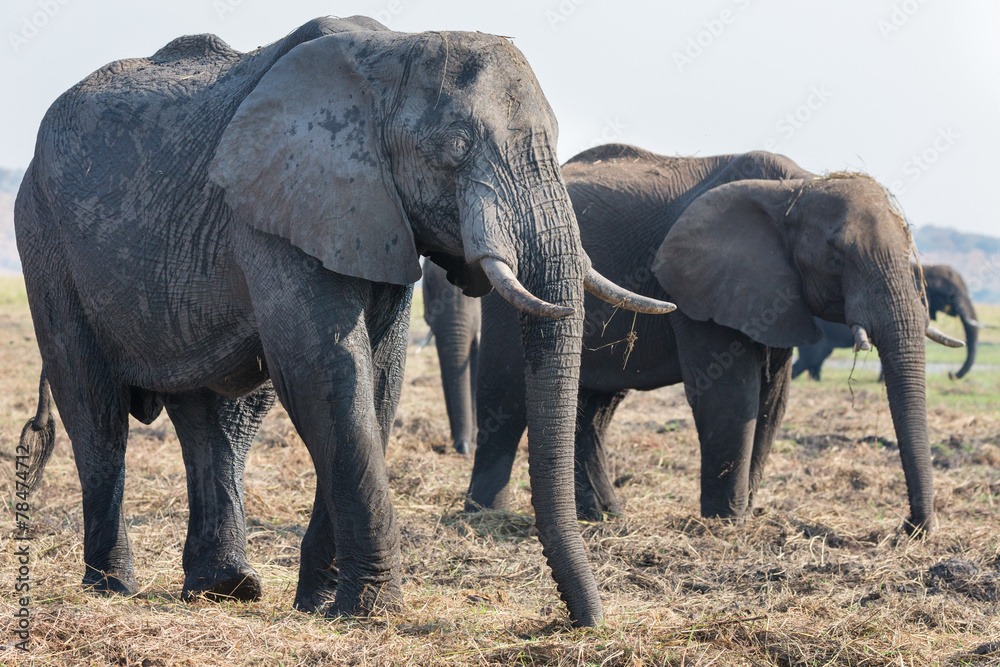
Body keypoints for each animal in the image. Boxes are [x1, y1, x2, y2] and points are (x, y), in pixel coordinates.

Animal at [464, 144, 963, 534]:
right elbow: (730, 398)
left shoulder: (774, 294)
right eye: (837, 256)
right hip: (516, 284)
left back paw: (605, 518)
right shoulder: (699, 288)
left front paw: (746, 515)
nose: (910, 527)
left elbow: (772, 402)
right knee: (505, 391)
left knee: (594, 409)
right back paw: (485, 515)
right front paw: (726, 524)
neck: (796, 188)